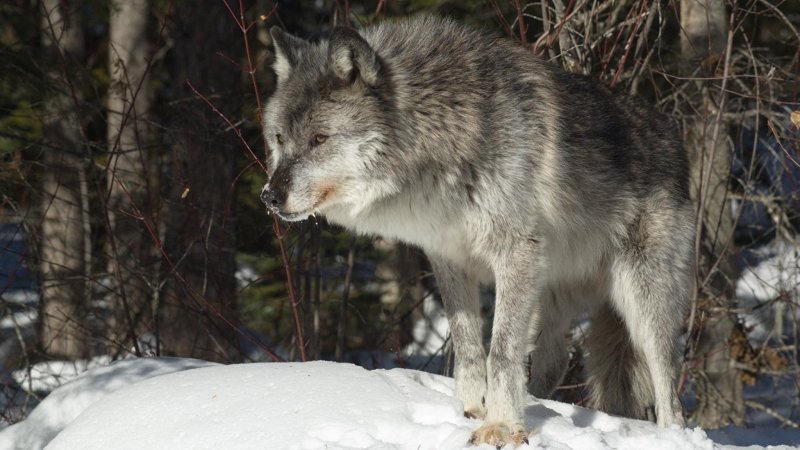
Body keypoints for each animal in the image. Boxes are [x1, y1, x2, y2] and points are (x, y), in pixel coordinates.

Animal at [260, 15, 692, 448]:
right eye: (279, 138)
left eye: (319, 139)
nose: (269, 195)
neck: (443, 130)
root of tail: (672, 132)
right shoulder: (448, 259)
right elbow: (468, 347)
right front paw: (470, 412)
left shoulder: (515, 253)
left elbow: (499, 352)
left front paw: (499, 426)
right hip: (547, 296)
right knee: (556, 360)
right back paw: (537, 409)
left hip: (640, 298)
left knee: (667, 379)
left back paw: (671, 434)